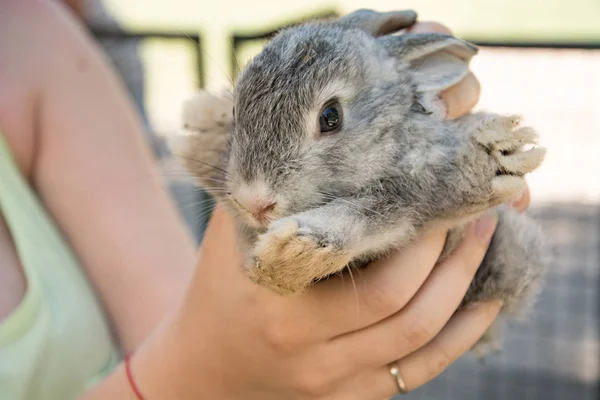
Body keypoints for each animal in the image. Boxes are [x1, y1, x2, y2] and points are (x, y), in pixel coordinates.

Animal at [175, 8, 548, 354]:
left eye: (330, 117)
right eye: (237, 111)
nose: (253, 203)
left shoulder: (407, 201)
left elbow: (383, 210)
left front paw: (288, 255)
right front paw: (202, 121)